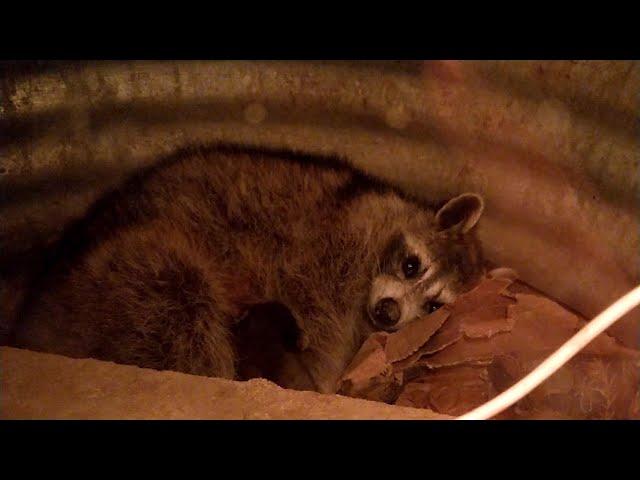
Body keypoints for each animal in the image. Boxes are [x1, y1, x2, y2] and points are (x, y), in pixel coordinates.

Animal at [11, 146, 484, 394]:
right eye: (411, 265)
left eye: (433, 307)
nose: (387, 313)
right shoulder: (325, 256)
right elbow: (320, 324)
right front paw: (323, 379)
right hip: (130, 273)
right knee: (180, 305)